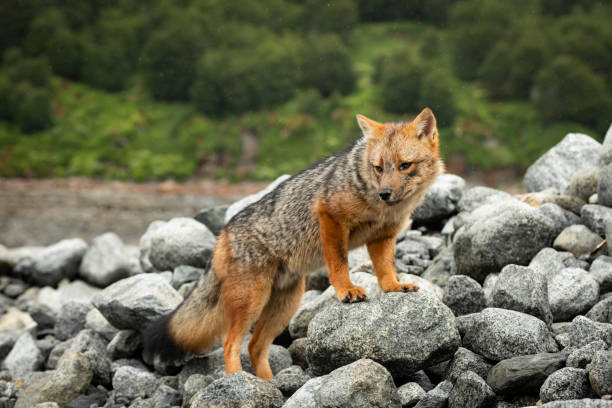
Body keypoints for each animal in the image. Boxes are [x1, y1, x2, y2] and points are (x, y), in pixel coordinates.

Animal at [144, 107, 444, 380]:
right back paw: (238, 382)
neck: (378, 205)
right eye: (379, 168)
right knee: (230, 344)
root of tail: (223, 233)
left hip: (285, 305)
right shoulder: (331, 217)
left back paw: (269, 385)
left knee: (254, 346)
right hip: (252, 301)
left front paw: (394, 287)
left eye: (404, 165)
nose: (385, 193)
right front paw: (346, 290)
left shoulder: (383, 236)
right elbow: (339, 263)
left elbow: (385, 269)